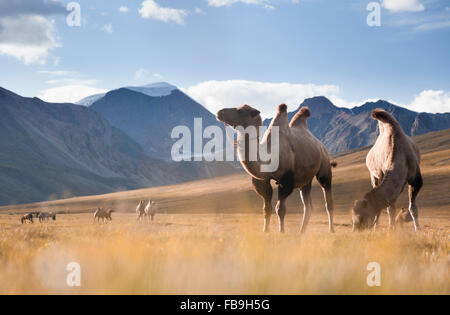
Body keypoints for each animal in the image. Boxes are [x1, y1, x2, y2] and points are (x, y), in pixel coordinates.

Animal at [216, 105, 336, 233]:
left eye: (240, 111)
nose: (220, 112)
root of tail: (320, 145)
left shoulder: (286, 181)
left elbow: (280, 209)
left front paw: (281, 232)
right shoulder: (262, 181)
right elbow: (266, 209)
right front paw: (265, 232)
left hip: (324, 166)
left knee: (328, 198)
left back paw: (331, 230)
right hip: (305, 179)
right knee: (308, 205)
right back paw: (301, 232)